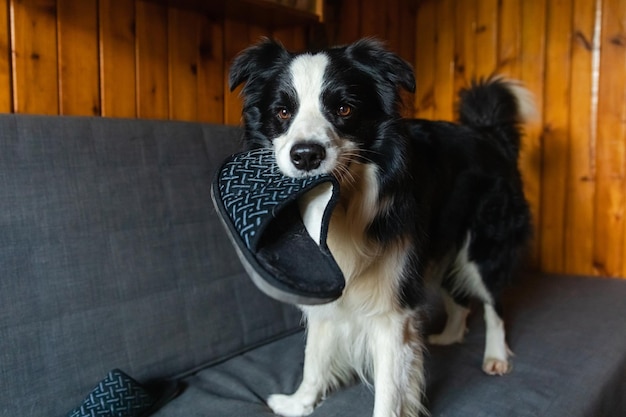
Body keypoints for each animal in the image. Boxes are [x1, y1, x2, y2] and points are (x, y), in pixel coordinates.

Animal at [229, 39, 532, 416]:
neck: (342, 210)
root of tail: (490, 135)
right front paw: (298, 403)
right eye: (283, 112)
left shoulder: (391, 310)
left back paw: (495, 356)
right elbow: (314, 356)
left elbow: (389, 389)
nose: (306, 155)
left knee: (494, 303)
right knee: (459, 299)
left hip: (483, 246)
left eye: (344, 109)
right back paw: (449, 336)